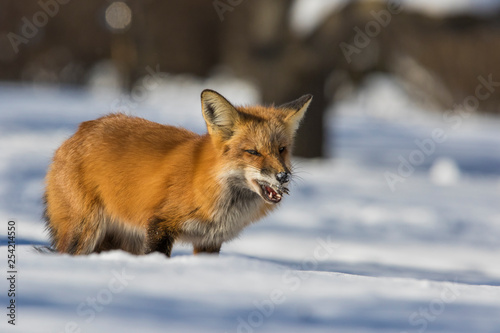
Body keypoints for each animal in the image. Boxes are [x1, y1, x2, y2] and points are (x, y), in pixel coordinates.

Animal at [43, 89, 310, 255]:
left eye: (282, 149)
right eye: (253, 152)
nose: (283, 176)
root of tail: (78, 132)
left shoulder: (210, 242)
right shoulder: (161, 224)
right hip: (84, 232)